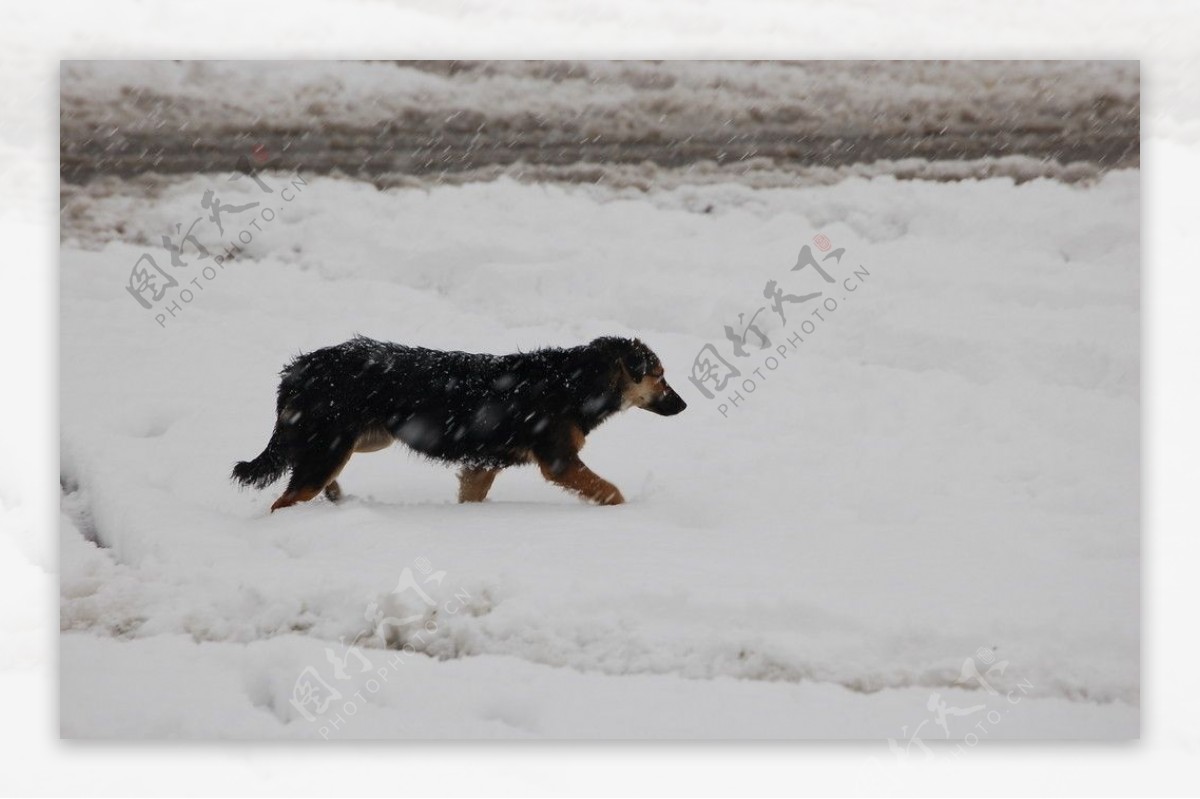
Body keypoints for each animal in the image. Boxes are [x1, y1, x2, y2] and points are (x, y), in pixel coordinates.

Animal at [231, 333, 686, 511]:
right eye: (660, 376)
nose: (683, 406)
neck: (576, 382)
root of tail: (301, 369)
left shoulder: (481, 466)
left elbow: (471, 494)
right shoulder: (559, 461)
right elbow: (610, 491)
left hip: (362, 439)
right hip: (332, 445)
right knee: (286, 497)